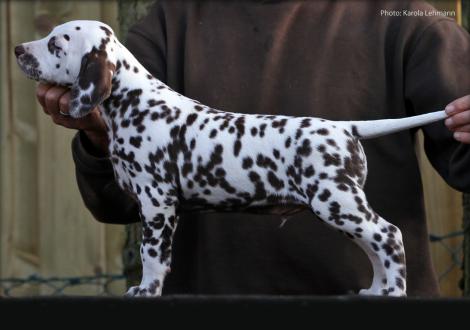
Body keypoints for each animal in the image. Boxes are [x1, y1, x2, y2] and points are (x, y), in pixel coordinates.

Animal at [15, 21, 448, 298]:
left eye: (55, 44)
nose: (18, 50)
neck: (137, 102)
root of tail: (347, 128)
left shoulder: (157, 204)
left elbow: (152, 256)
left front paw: (146, 290)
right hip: (341, 209)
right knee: (374, 248)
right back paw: (376, 290)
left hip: (337, 202)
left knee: (389, 236)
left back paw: (394, 291)